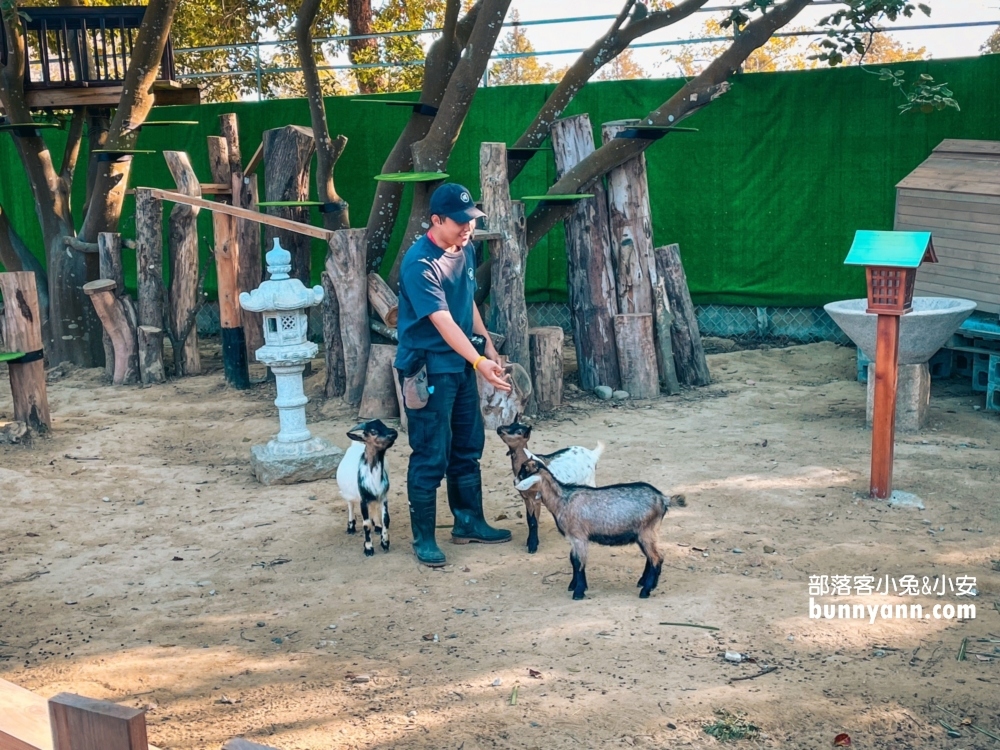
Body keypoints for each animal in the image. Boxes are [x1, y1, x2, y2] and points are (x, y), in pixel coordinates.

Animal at [336, 424, 398, 560]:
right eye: (373, 431)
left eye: (384, 424)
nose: (394, 432)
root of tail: (356, 443)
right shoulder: (363, 500)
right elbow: (366, 524)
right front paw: (368, 548)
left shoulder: (383, 496)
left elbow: (386, 519)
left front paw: (385, 543)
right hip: (348, 492)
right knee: (350, 505)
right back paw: (351, 527)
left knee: (373, 506)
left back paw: (378, 526)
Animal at [498, 420, 604, 556]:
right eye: (511, 423)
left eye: (519, 431)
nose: (499, 428)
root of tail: (592, 453)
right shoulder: (526, 498)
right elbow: (530, 520)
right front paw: (530, 541)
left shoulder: (536, 497)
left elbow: (534, 522)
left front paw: (533, 546)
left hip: (589, 480)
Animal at [512, 456, 684, 604]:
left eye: (523, 472)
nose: (514, 481)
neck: (563, 500)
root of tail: (663, 499)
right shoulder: (574, 539)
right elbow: (573, 559)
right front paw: (574, 585)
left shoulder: (579, 537)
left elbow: (580, 562)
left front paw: (578, 592)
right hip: (645, 534)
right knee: (652, 556)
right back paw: (645, 583)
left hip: (646, 532)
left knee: (656, 557)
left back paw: (646, 590)